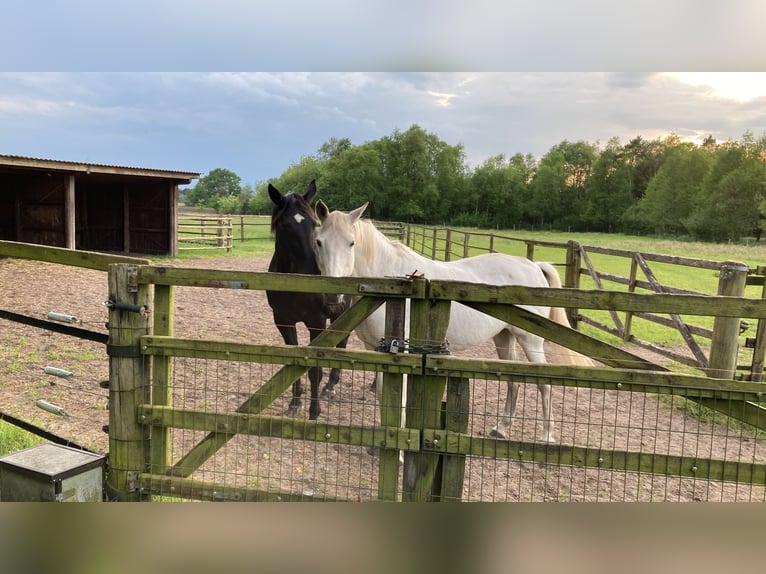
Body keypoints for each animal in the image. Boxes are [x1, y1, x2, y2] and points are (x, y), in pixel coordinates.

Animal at [264, 179, 348, 418]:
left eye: (313, 223)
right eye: (284, 225)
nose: (315, 269)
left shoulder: (316, 322)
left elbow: (314, 370)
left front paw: (314, 411)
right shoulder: (283, 321)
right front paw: (295, 403)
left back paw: (331, 387)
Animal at [314, 200, 592, 444]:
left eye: (351, 243)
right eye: (319, 242)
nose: (331, 296)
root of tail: (534, 266)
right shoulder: (377, 351)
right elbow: (385, 393)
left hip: (530, 341)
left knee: (544, 385)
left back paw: (547, 437)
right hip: (504, 337)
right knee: (513, 381)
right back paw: (500, 429)